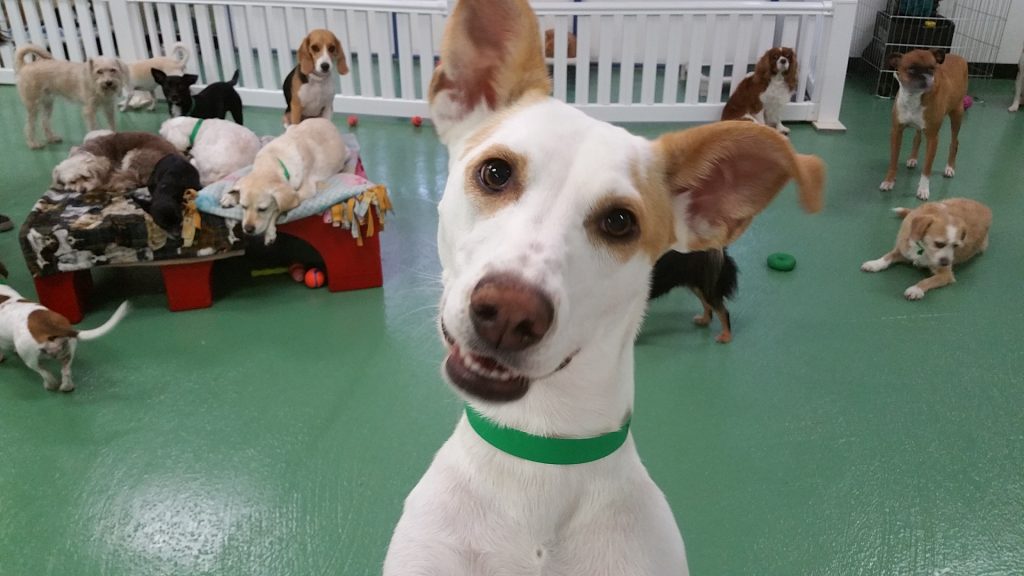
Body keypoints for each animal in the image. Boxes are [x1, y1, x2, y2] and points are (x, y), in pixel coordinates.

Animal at [0, 284, 130, 391]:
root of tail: (48, 325)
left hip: (30, 359)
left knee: (44, 372)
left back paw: (50, 385)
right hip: (68, 351)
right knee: (65, 371)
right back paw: (67, 387)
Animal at [220, 116, 348, 241]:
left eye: (263, 209)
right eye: (243, 206)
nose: (248, 229)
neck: (273, 160)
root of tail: (327, 120)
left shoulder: (306, 191)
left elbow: (277, 208)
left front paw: (270, 232)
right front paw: (230, 196)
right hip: (294, 127)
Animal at [880, 49, 966, 201]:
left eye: (932, 69)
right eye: (912, 69)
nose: (926, 77)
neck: (914, 97)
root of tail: (959, 57)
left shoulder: (933, 138)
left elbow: (927, 168)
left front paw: (923, 189)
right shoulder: (896, 132)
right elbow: (893, 160)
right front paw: (889, 181)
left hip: (957, 115)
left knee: (954, 142)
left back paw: (949, 168)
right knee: (917, 137)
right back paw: (913, 158)